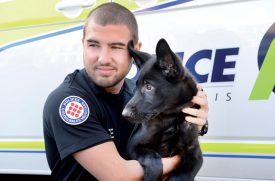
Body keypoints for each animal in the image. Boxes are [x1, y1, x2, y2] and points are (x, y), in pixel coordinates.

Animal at [122, 39, 203, 180]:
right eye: (136, 87)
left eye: (149, 87)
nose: (124, 114)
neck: (172, 117)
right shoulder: (134, 145)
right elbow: (153, 159)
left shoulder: (194, 153)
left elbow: (181, 175)